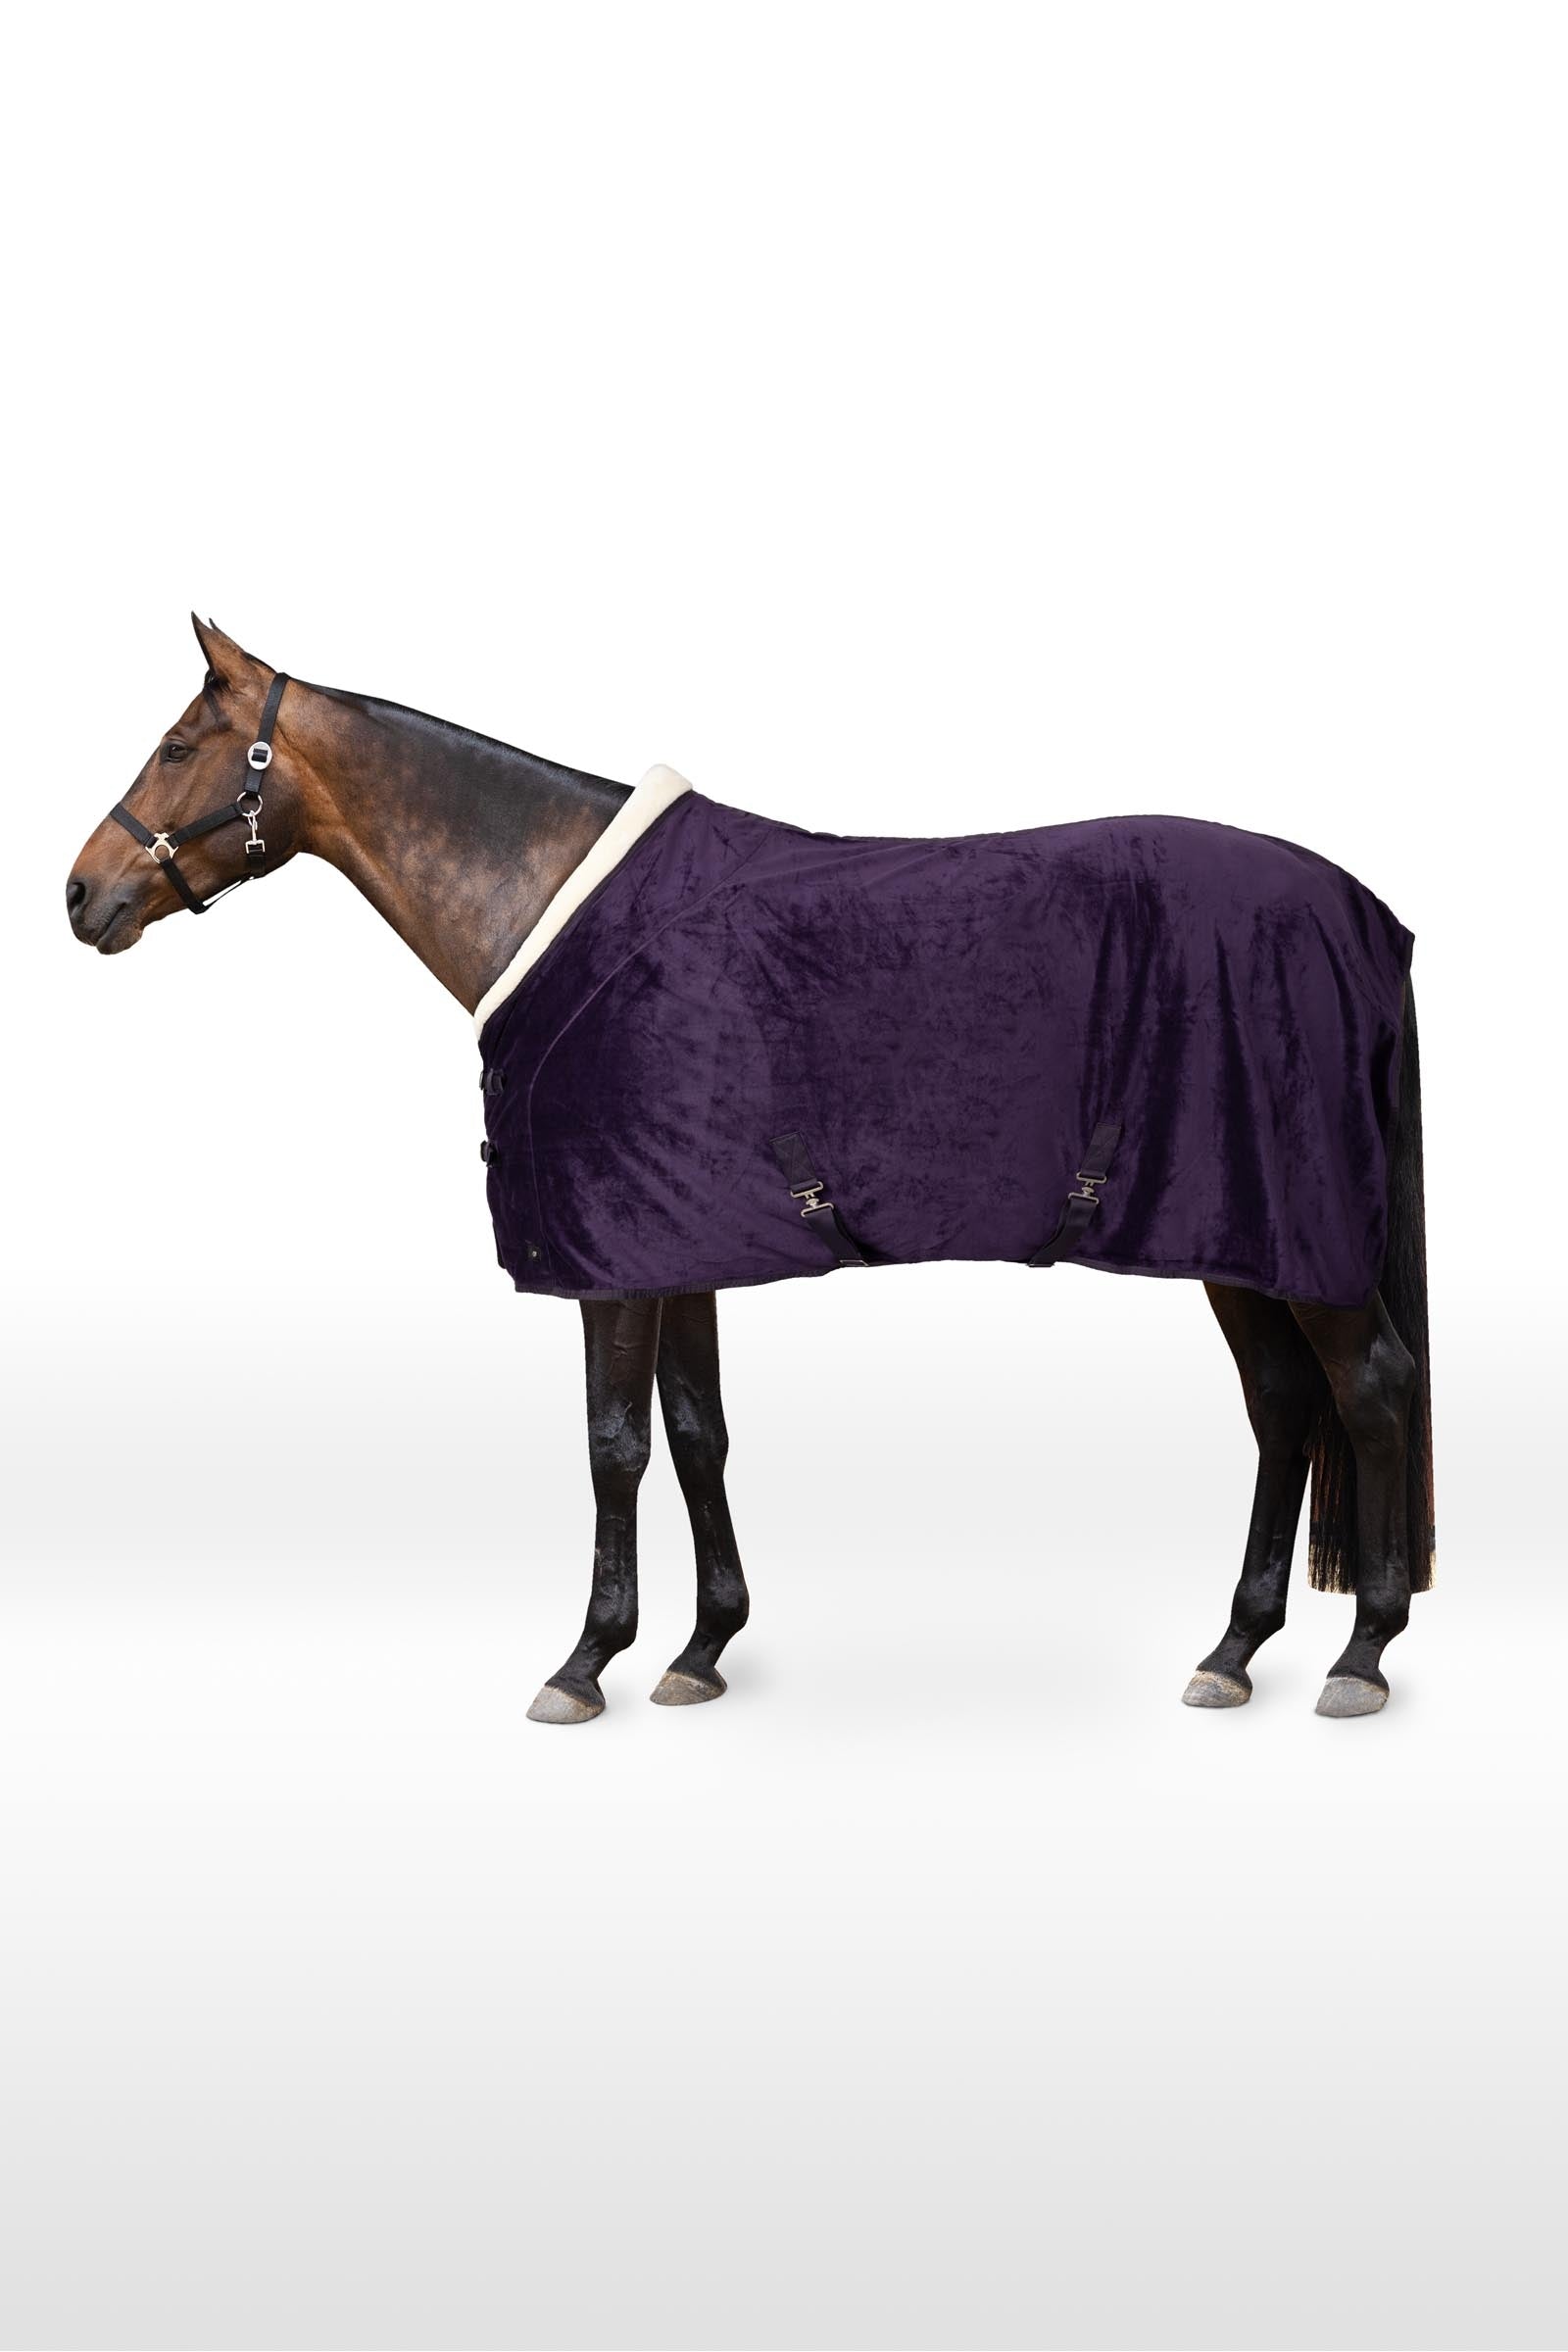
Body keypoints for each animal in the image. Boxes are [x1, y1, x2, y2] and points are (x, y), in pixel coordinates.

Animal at [66, 618, 1434, 1724]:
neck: (557, 902)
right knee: (1283, 1405)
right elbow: (697, 1432)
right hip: (1232, 1234)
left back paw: (1361, 1654)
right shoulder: (680, 1241)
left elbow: (614, 1444)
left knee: (1366, 1389)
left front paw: (586, 1663)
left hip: (1293, 1238)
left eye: (181, 746)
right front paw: (701, 1648)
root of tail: (1364, 915)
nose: (80, 895)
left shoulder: (612, 1260)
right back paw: (1234, 1650)